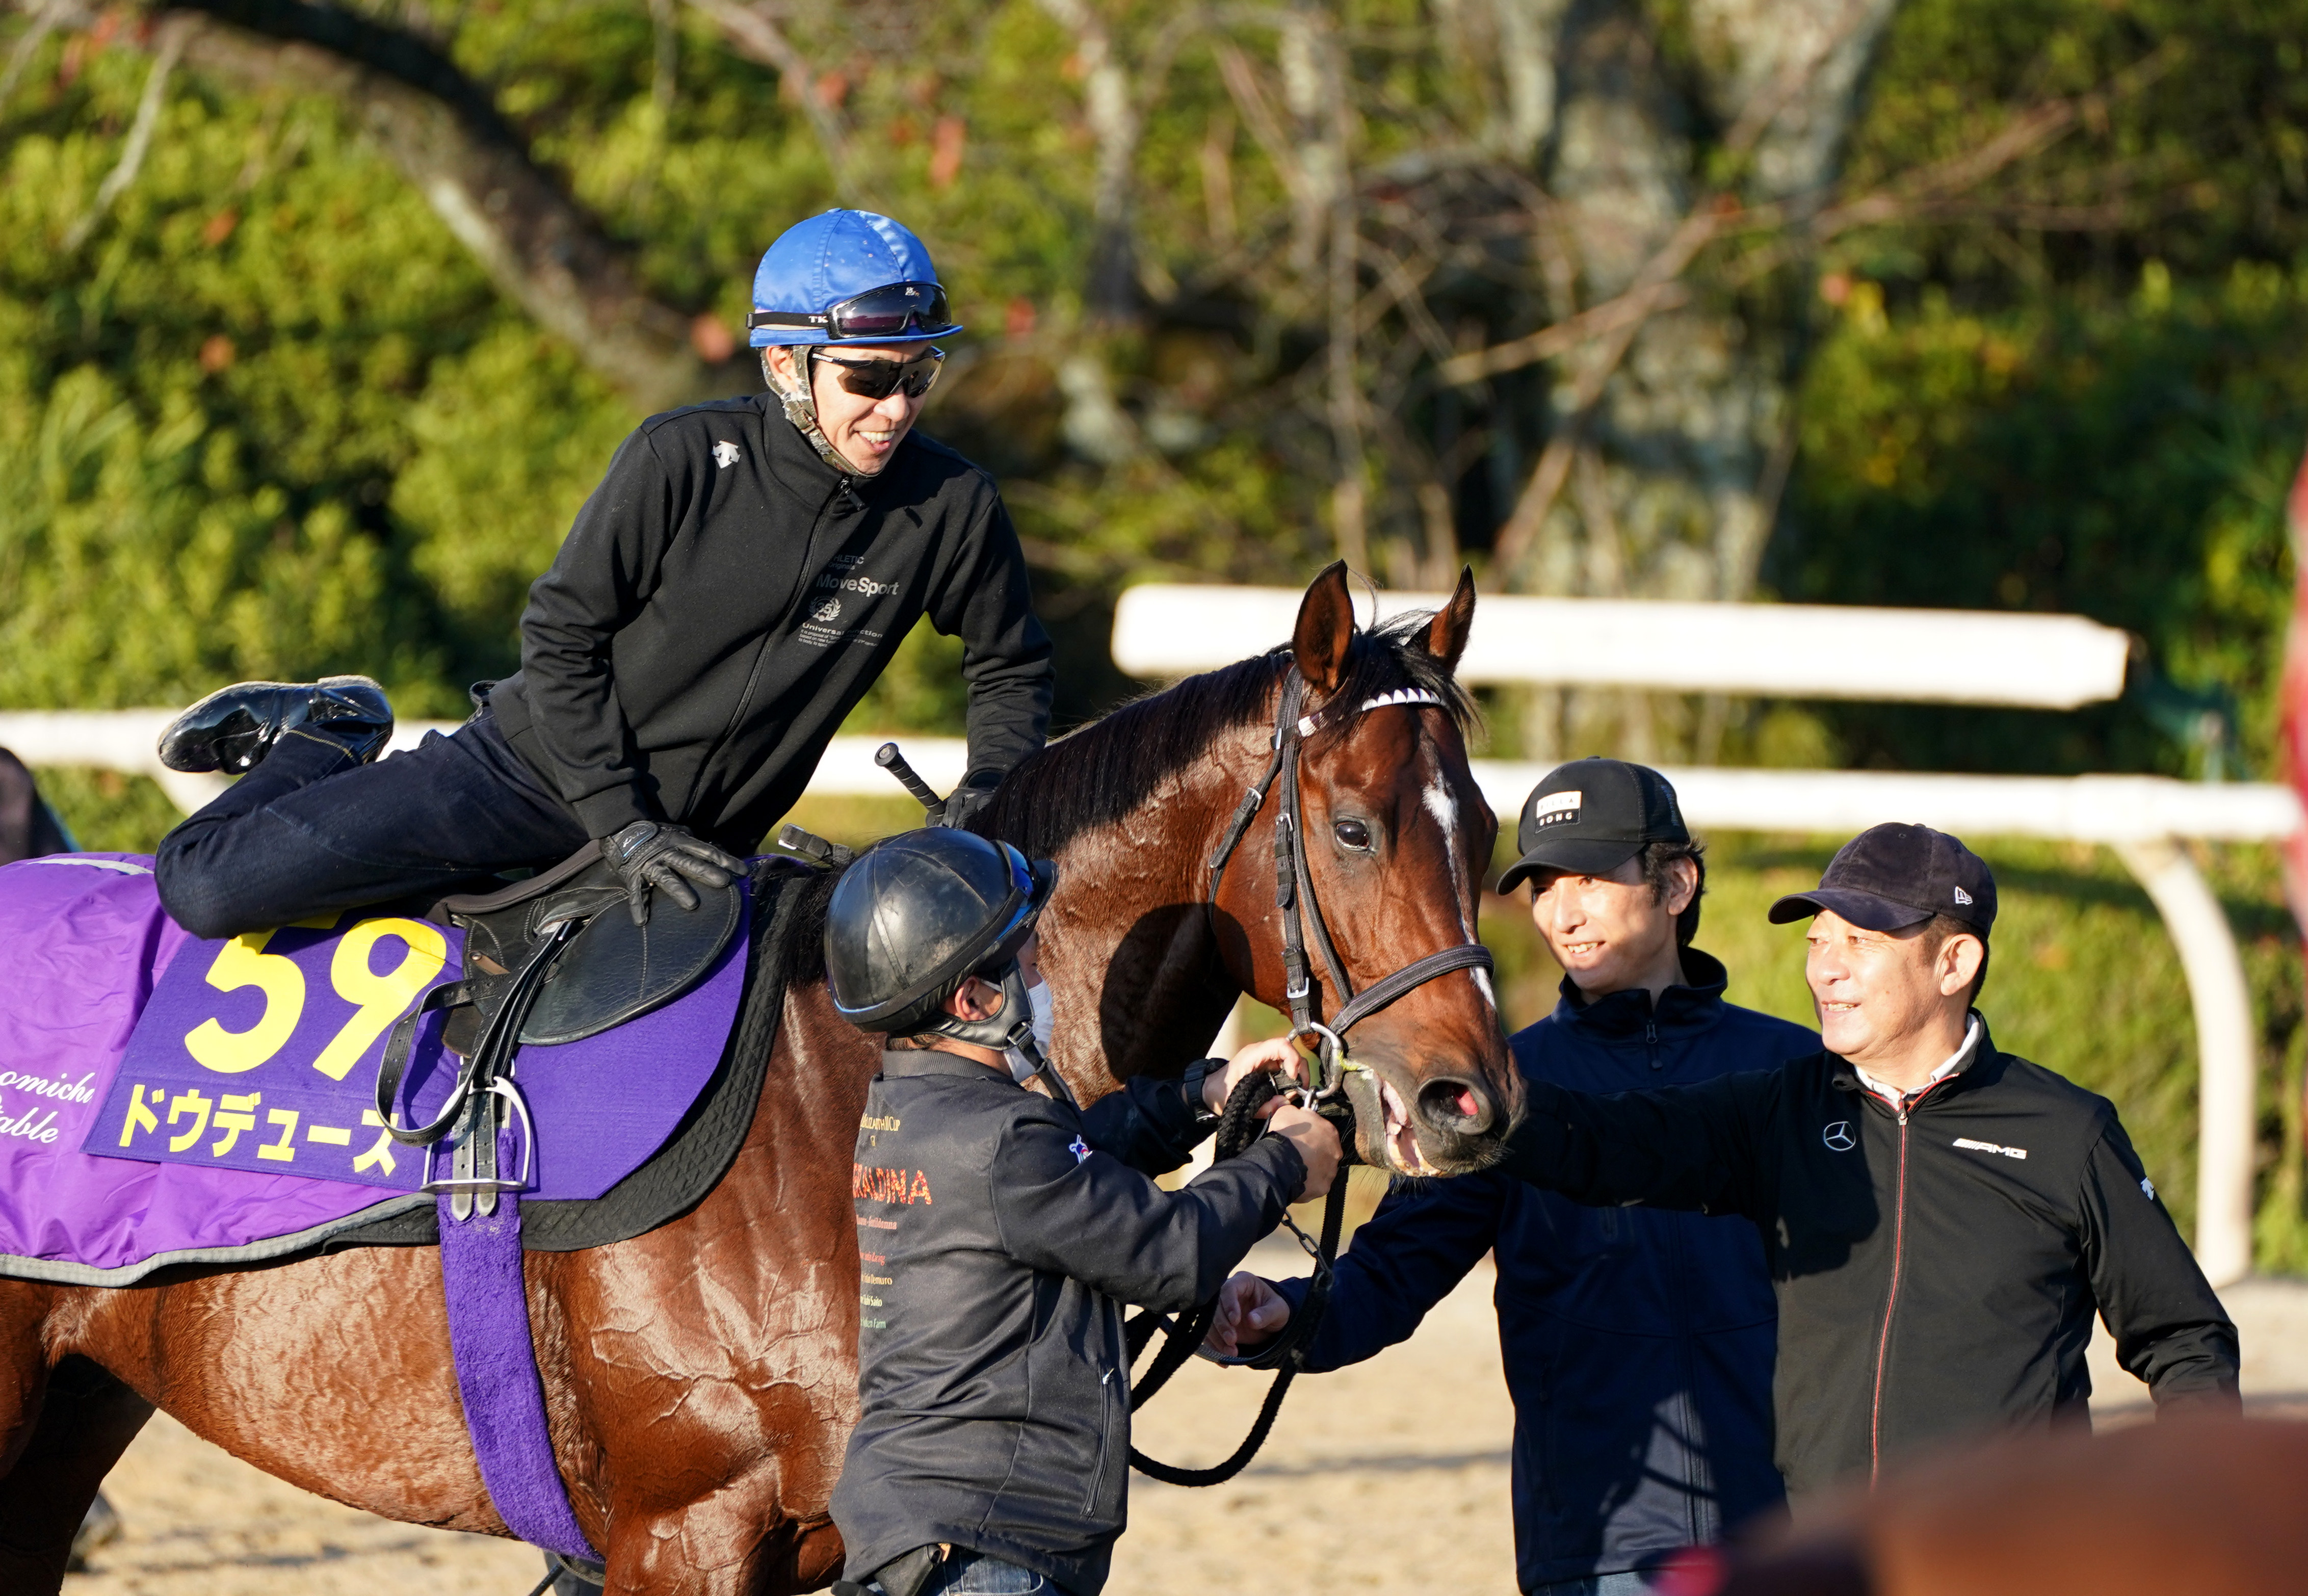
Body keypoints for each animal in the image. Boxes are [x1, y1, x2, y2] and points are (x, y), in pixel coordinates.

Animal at [0, 562, 1518, 1594]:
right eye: (1353, 825)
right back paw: (282, 721)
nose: (1471, 1102)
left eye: (1488, 830)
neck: (840, 1083)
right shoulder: (689, 1533)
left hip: (71, 1416)